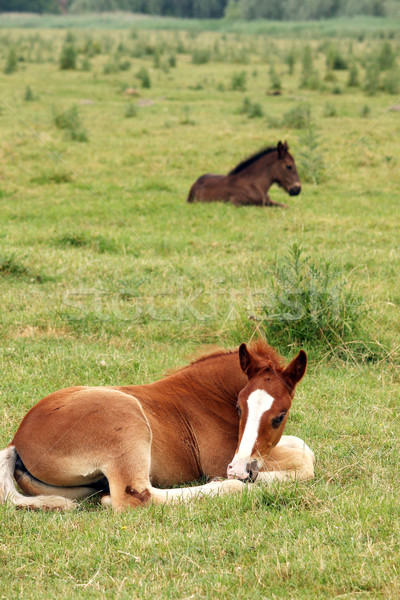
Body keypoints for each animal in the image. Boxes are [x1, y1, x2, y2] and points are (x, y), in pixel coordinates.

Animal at [0, 340, 316, 512]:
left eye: (280, 415)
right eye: (239, 408)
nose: (239, 470)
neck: (209, 393)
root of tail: (17, 439)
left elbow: (303, 448)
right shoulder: (221, 458)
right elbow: (305, 463)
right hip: (127, 419)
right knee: (137, 497)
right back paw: (226, 486)